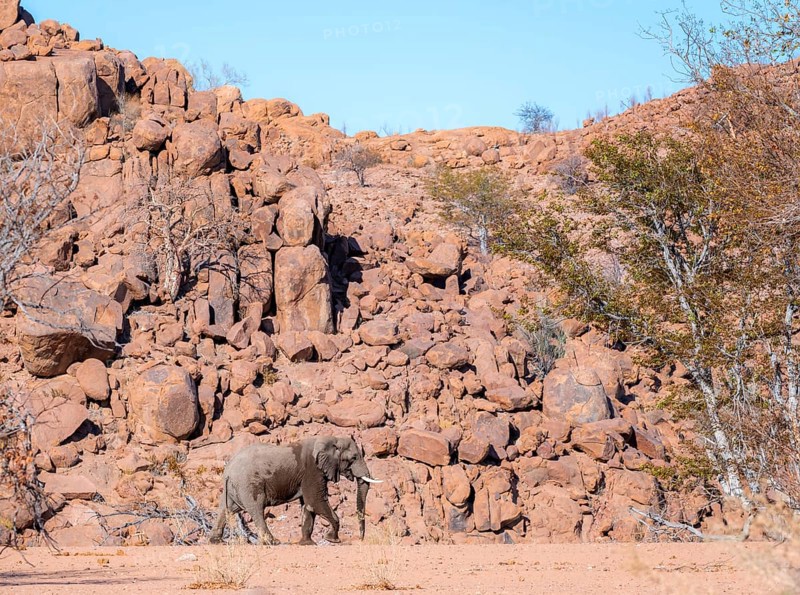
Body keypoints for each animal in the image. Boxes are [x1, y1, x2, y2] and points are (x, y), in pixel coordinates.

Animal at [209, 436, 382, 545]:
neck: (331, 439)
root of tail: (228, 469)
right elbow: (315, 501)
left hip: (232, 488)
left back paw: (216, 541)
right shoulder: (312, 469)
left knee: (225, 509)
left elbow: (307, 505)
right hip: (248, 484)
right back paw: (273, 542)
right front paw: (332, 539)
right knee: (256, 509)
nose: (361, 539)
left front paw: (307, 543)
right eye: (353, 458)